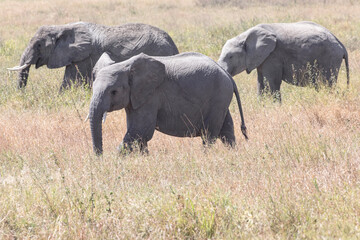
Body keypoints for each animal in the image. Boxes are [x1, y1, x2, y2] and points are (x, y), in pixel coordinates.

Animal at [7, 22, 179, 91]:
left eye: (38, 45)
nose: (22, 95)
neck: (63, 27)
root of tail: (173, 45)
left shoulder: (85, 56)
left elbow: (70, 82)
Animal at [88, 51, 249, 155]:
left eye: (114, 92)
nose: (99, 157)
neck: (126, 65)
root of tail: (227, 74)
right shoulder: (136, 97)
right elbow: (138, 132)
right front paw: (143, 157)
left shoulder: (151, 96)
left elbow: (141, 130)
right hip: (221, 99)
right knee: (226, 131)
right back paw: (233, 154)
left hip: (219, 96)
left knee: (209, 135)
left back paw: (206, 156)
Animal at [218, 21, 350, 101]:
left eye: (230, 56)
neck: (245, 36)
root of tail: (341, 45)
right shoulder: (261, 58)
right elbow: (261, 83)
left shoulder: (273, 55)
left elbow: (272, 83)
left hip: (330, 59)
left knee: (326, 84)